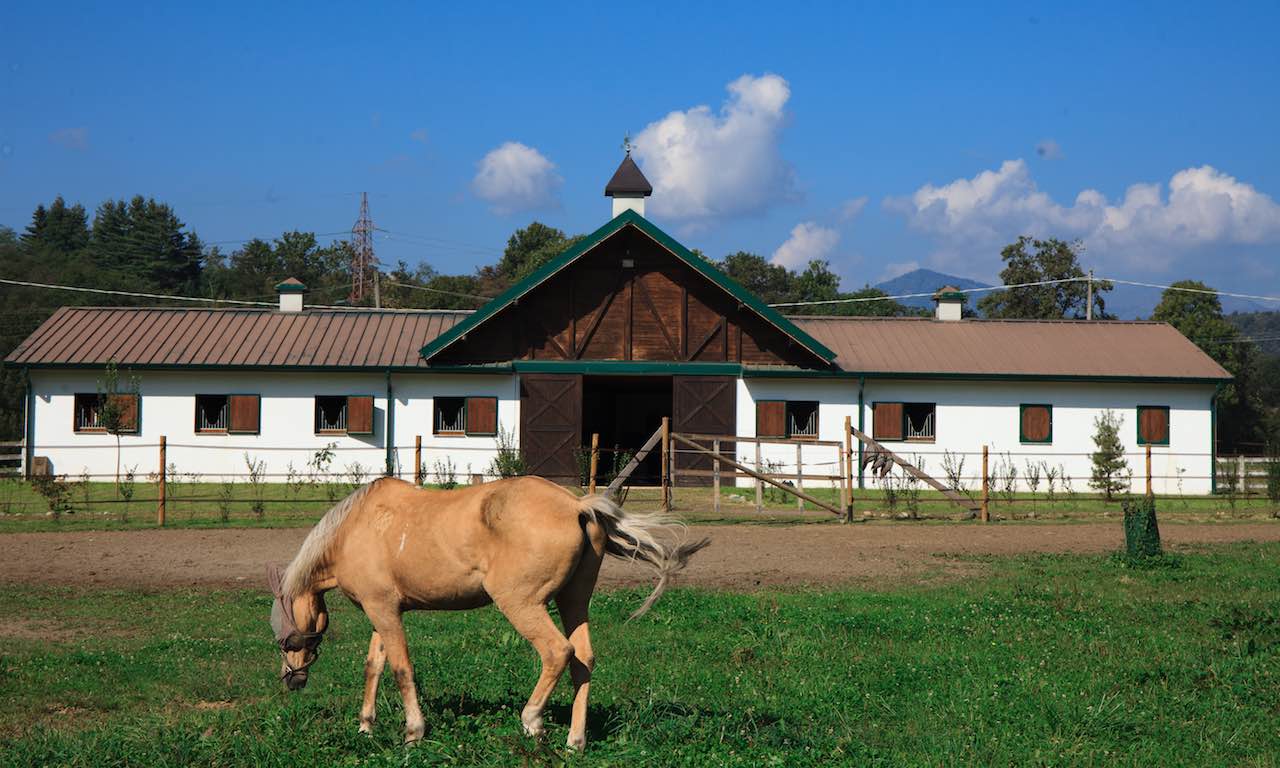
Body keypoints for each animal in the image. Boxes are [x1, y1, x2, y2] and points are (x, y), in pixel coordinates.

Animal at [267, 476, 711, 747]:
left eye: (282, 634)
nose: (291, 679)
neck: (357, 527)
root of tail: (576, 505)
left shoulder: (384, 611)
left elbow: (401, 669)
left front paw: (414, 731)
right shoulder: (385, 611)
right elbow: (374, 666)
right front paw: (366, 726)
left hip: (521, 604)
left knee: (558, 653)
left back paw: (532, 720)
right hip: (573, 601)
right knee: (583, 659)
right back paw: (575, 741)